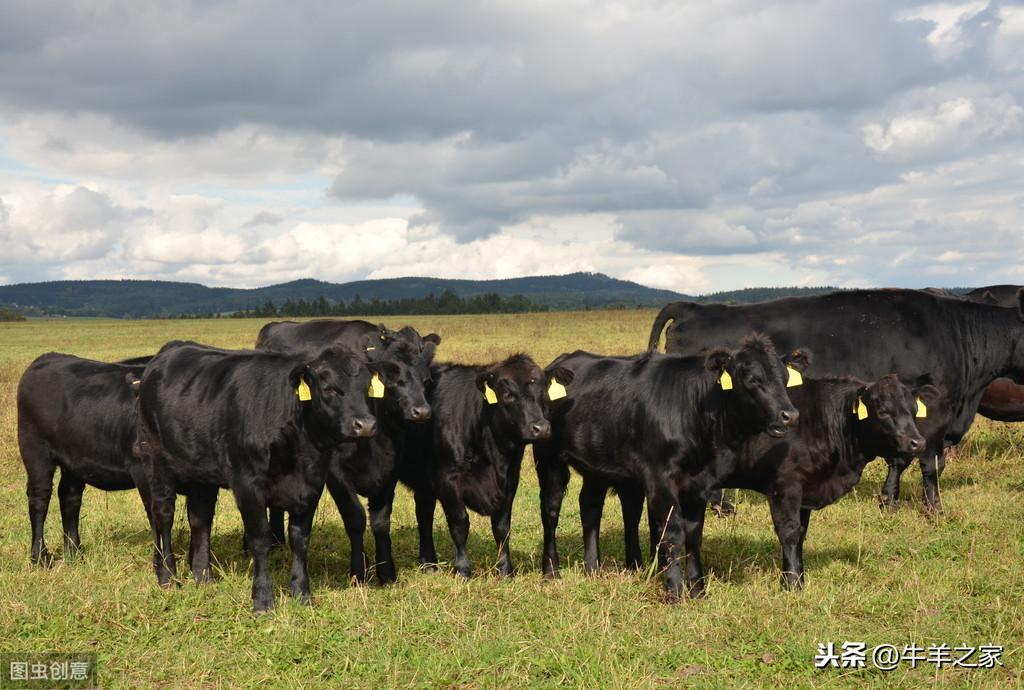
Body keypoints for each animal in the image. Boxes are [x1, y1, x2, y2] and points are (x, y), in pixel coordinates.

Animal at [18, 354, 150, 565]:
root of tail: (46, 357)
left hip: (74, 459)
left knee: (69, 496)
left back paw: (74, 552)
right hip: (35, 451)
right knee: (39, 498)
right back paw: (40, 556)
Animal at [132, 337, 380, 606]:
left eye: (366, 387)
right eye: (329, 388)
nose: (366, 425)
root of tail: (169, 351)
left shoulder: (311, 485)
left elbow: (300, 539)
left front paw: (302, 593)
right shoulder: (248, 485)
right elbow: (260, 539)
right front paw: (262, 599)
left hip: (201, 473)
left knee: (200, 519)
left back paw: (203, 576)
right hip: (155, 460)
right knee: (163, 516)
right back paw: (167, 577)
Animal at [399, 352, 565, 577]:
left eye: (544, 394)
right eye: (508, 395)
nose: (541, 428)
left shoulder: (510, 480)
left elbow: (502, 527)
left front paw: (505, 570)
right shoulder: (447, 479)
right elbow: (460, 523)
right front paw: (462, 570)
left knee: (424, 514)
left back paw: (429, 565)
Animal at [532, 333, 802, 597]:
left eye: (786, 378)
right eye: (752, 379)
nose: (790, 415)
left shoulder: (700, 483)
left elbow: (693, 535)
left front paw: (698, 589)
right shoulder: (660, 478)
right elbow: (672, 533)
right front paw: (674, 590)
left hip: (598, 466)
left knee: (592, 507)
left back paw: (595, 568)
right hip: (549, 459)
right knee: (550, 510)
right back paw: (551, 571)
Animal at [647, 286, 1024, 509]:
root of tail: (694, 307)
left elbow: (904, 458)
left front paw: (889, 500)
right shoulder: (932, 411)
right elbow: (927, 462)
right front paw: (933, 509)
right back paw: (721, 505)